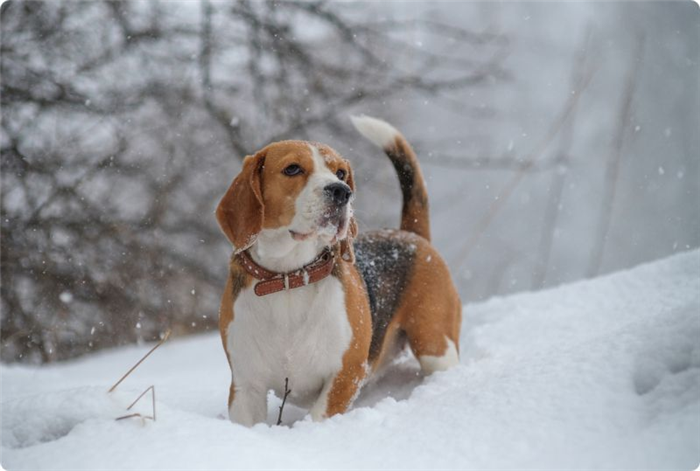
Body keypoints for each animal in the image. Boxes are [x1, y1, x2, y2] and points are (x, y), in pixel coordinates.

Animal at [216, 116, 462, 426]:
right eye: (292, 169)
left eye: (341, 173)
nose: (342, 191)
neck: (290, 278)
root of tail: (409, 234)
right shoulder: (245, 387)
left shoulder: (346, 374)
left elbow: (318, 416)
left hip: (435, 345)